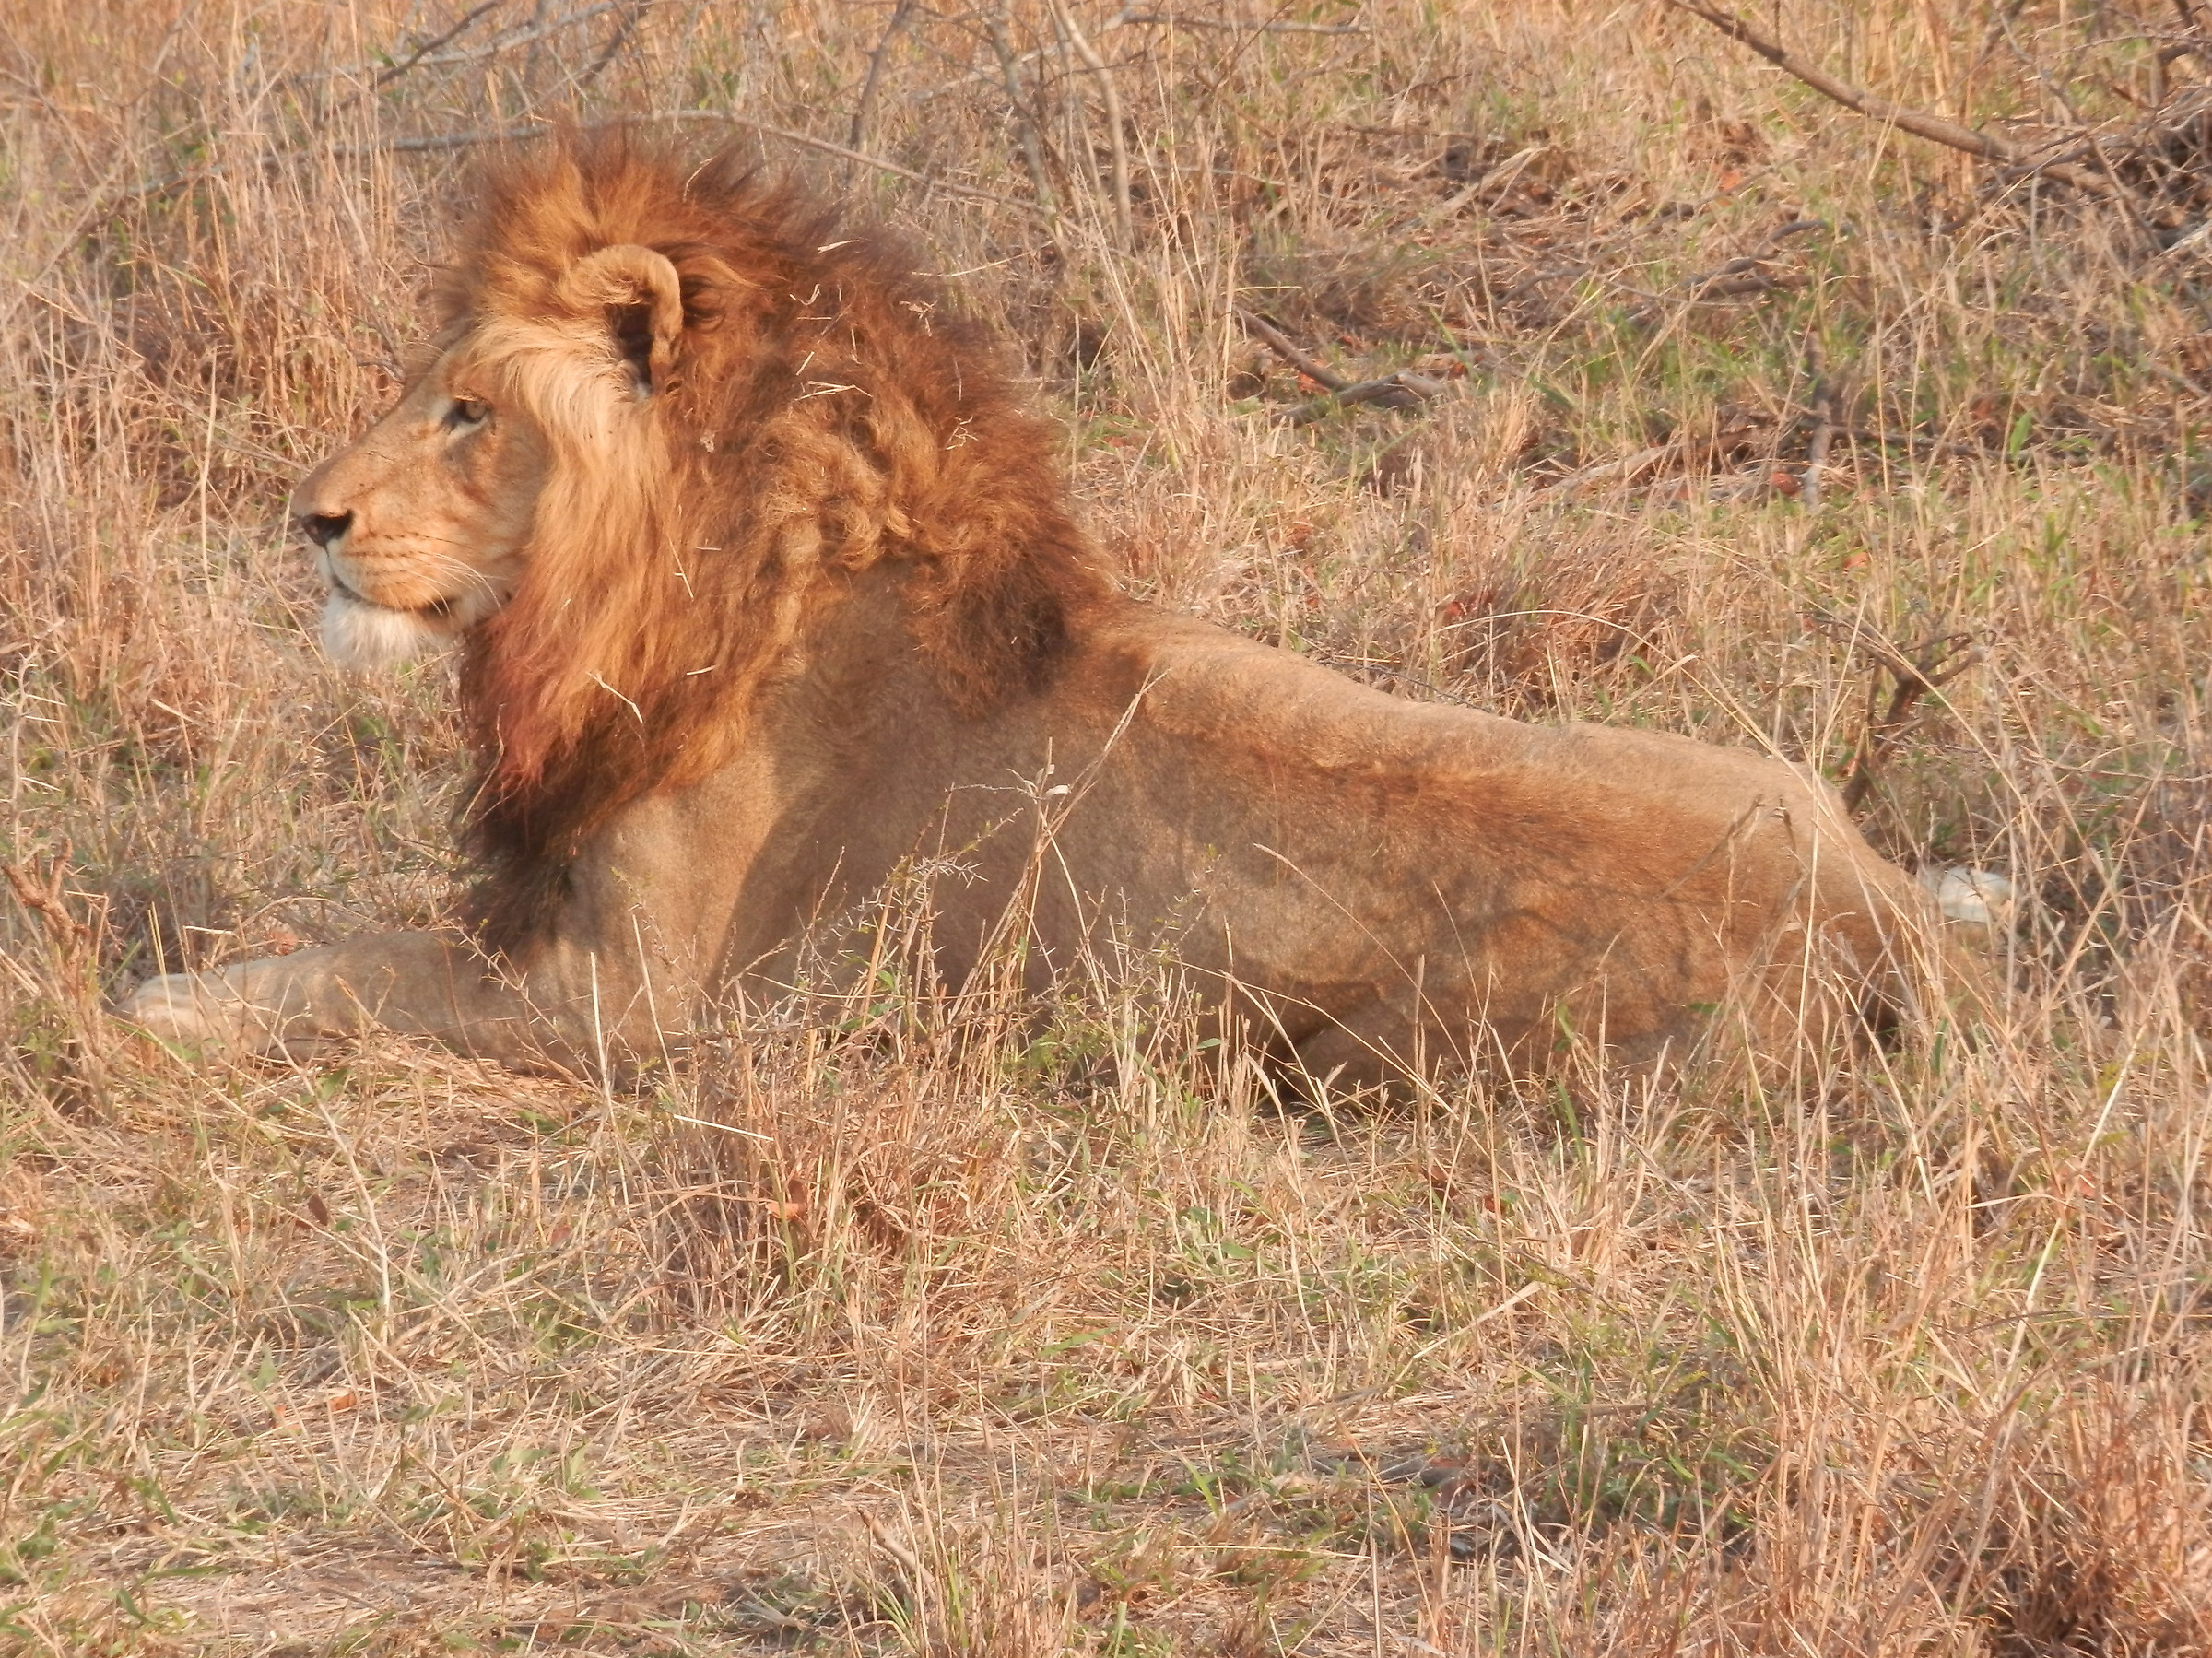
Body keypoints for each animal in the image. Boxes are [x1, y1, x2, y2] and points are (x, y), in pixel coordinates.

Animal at [125, 136, 1943, 1088]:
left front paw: (153, 1004)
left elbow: (347, 969)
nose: (309, 520)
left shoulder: (625, 998)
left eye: (467, 411)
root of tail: (1872, 915)